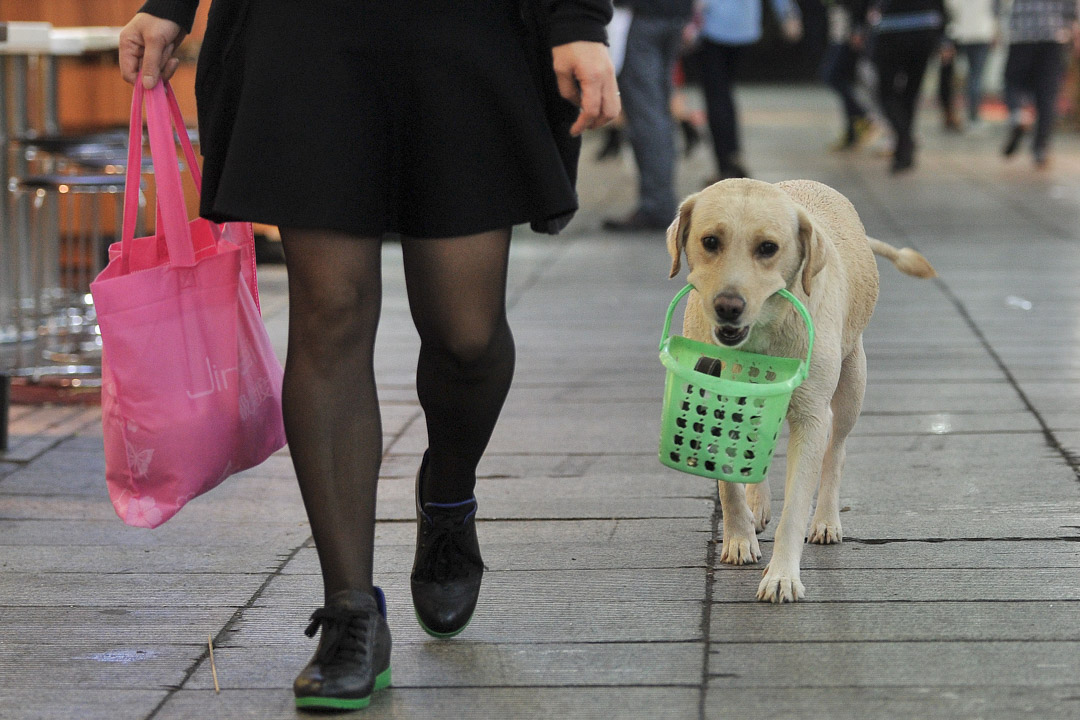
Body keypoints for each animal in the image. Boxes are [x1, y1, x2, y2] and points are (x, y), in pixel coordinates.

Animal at [660, 179, 933, 604]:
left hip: (852, 383)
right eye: (710, 241)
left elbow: (796, 505)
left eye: (768, 248)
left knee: (836, 451)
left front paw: (782, 576)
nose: (728, 306)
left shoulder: (811, 418)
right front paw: (739, 536)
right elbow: (727, 482)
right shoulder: (714, 394)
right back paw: (757, 504)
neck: (760, 338)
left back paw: (826, 520)